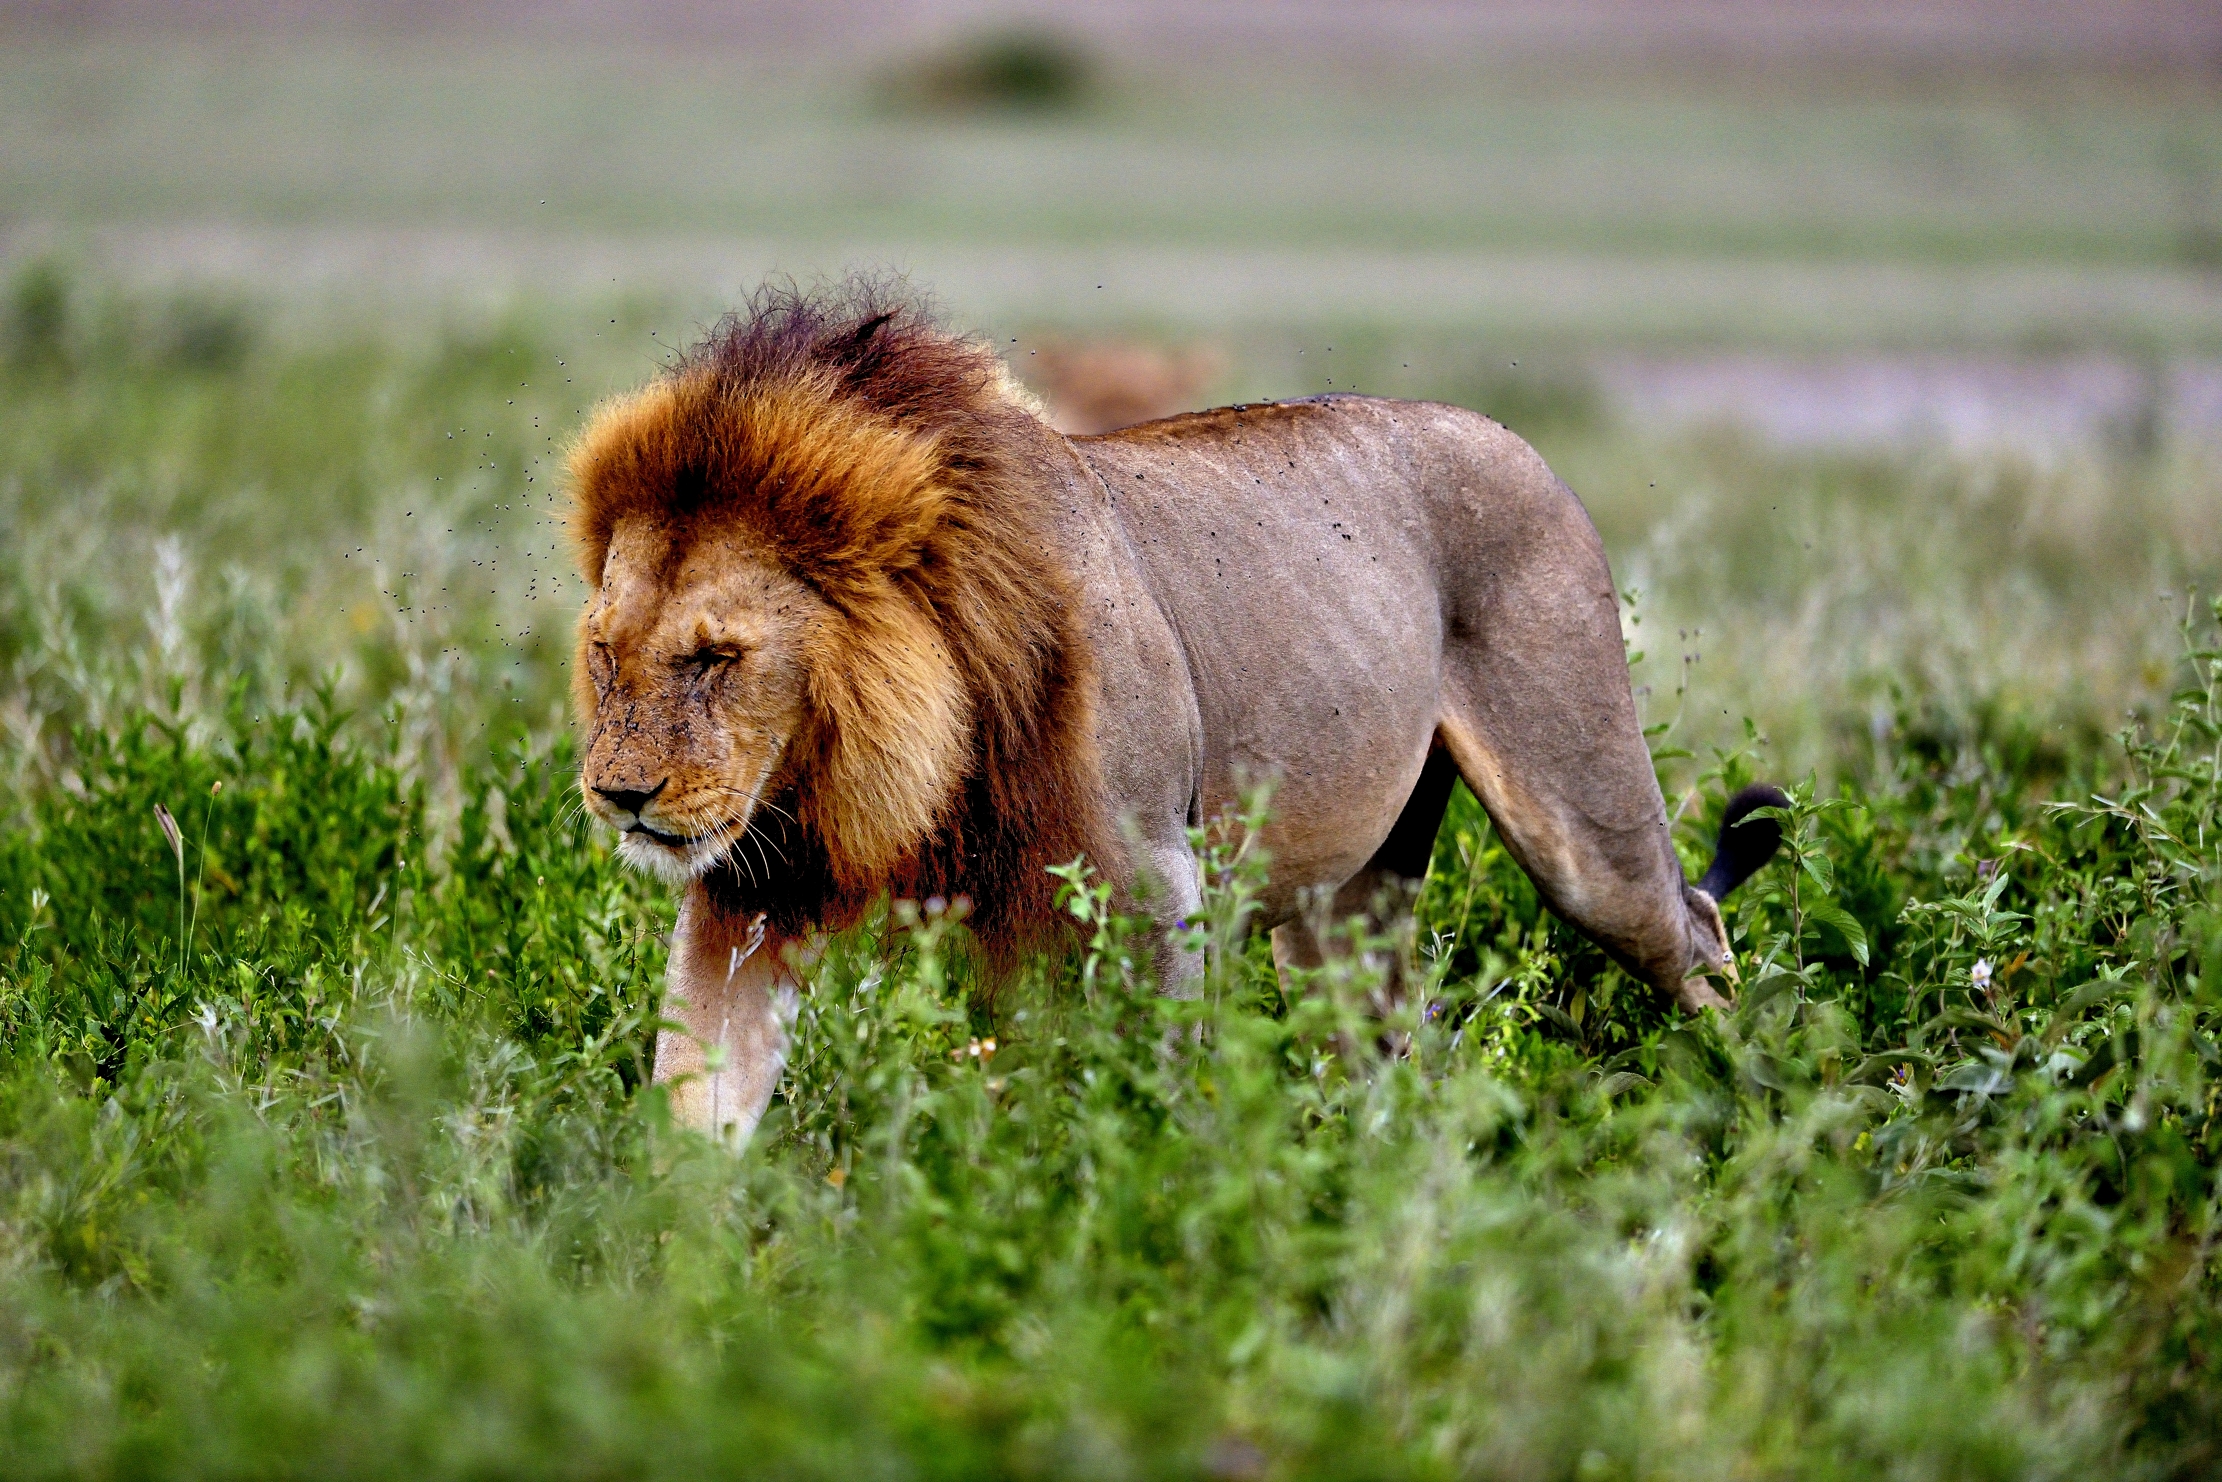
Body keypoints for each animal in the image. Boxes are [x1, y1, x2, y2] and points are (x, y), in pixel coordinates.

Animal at [565, 280, 1785, 1141]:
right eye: (604, 652)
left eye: (716, 658)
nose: (618, 797)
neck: (877, 750)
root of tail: (1516, 439)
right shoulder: (749, 892)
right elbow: (694, 1101)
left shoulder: (1152, 889)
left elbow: (1142, 1104)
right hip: (1347, 904)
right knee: (1389, 1040)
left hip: (1579, 812)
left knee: (1692, 928)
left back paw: (1757, 1115)